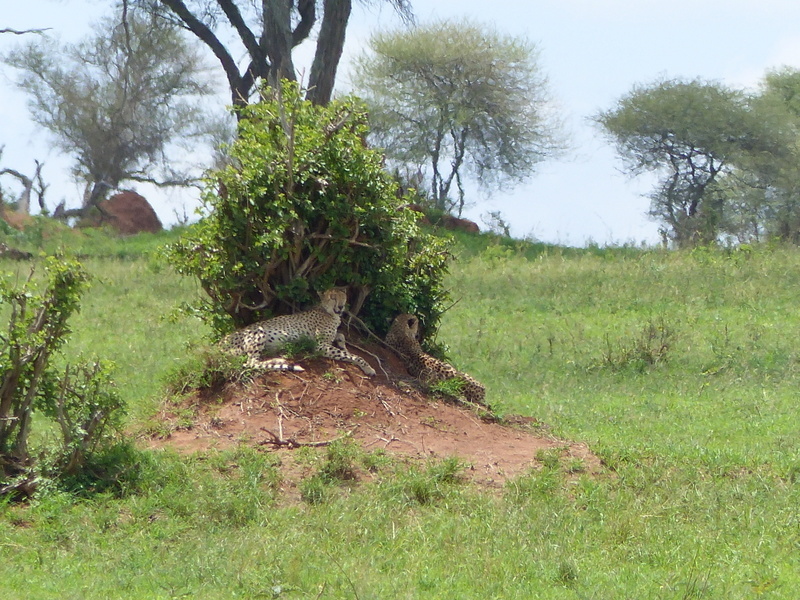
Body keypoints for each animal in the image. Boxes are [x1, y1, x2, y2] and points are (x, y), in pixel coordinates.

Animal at [220, 286, 376, 376]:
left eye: (342, 296)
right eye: (332, 297)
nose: (341, 306)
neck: (328, 312)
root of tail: (218, 345)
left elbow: (341, 335)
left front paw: (342, 344)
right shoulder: (319, 345)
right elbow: (353, 356)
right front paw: (368, 367)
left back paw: (279, 359)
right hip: (258, 332)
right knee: (251, 363)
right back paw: (280, 361)